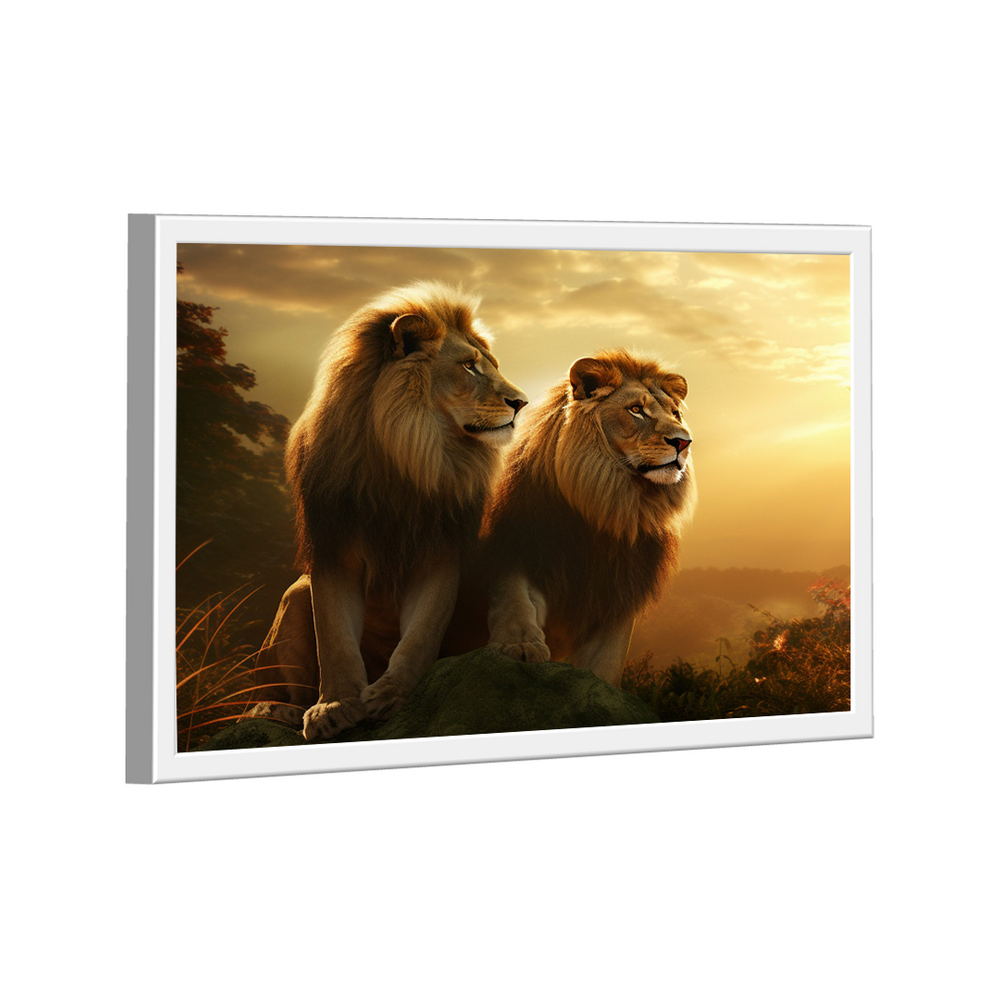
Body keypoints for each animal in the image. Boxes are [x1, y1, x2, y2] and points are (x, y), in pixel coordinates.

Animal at [254, 283, 527, 740]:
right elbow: (334, 641)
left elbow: (420, 636)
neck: (408, 455)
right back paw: (278, 711)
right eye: (468, 367)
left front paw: (391, 696)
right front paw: (333, 707)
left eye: (491, 366)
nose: (522, 403)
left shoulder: (440, 555)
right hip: (294, 595)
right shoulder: (331, 551)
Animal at [482, 350, 695, 687]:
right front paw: (519, 646)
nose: (684, 442)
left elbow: (606, 661)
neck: (608, 506)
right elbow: (514, 597)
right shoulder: (517, 543)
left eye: (676, 413)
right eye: (636, 410)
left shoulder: (618, 591)